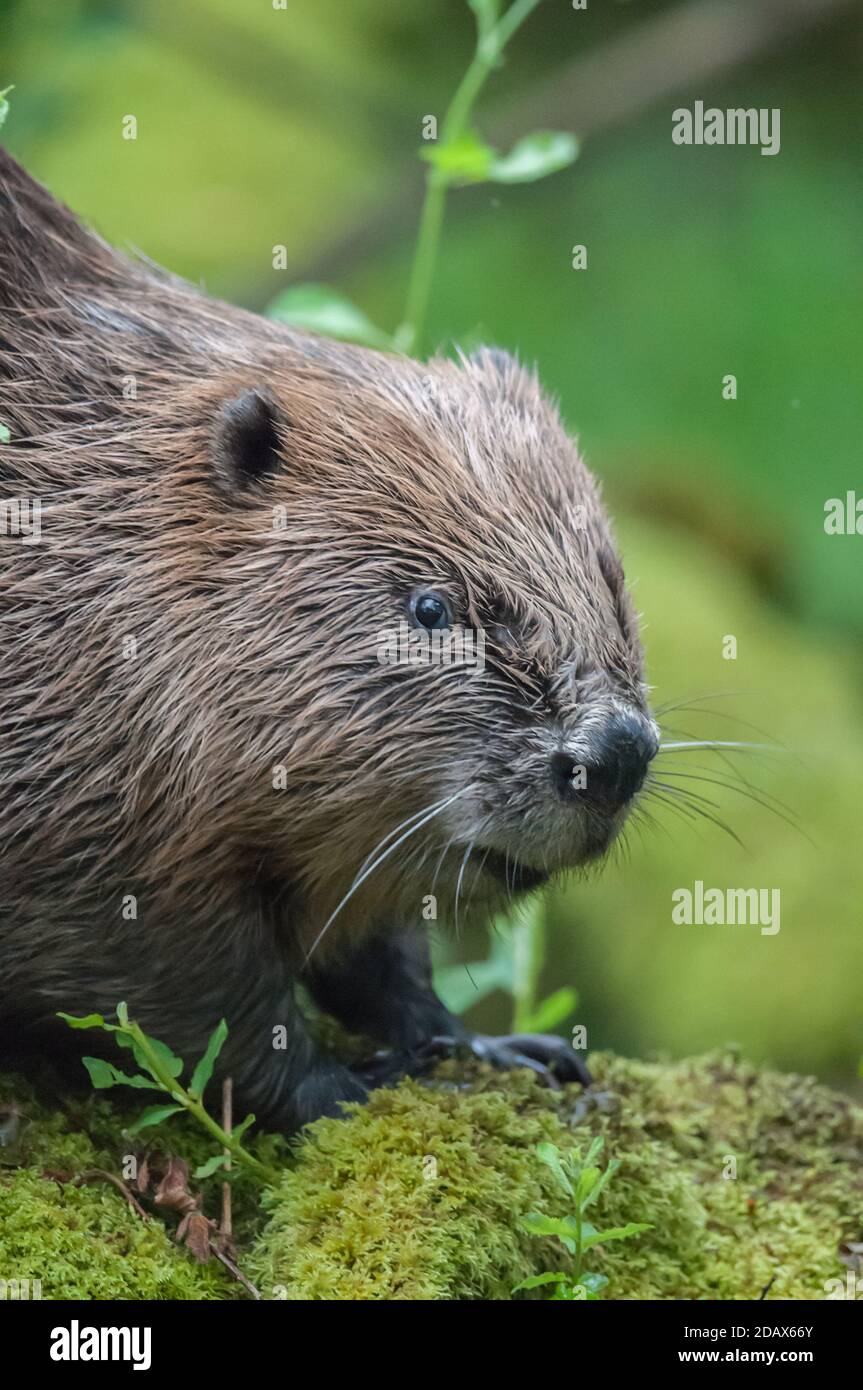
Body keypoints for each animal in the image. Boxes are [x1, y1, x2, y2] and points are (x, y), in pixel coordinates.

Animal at [1, 149, 658, 1128]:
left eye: (612, 583)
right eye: (429, 609)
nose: (614, 754)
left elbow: (375, 943)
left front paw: (496, 1048)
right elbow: (173, 974)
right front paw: (347, 1086)